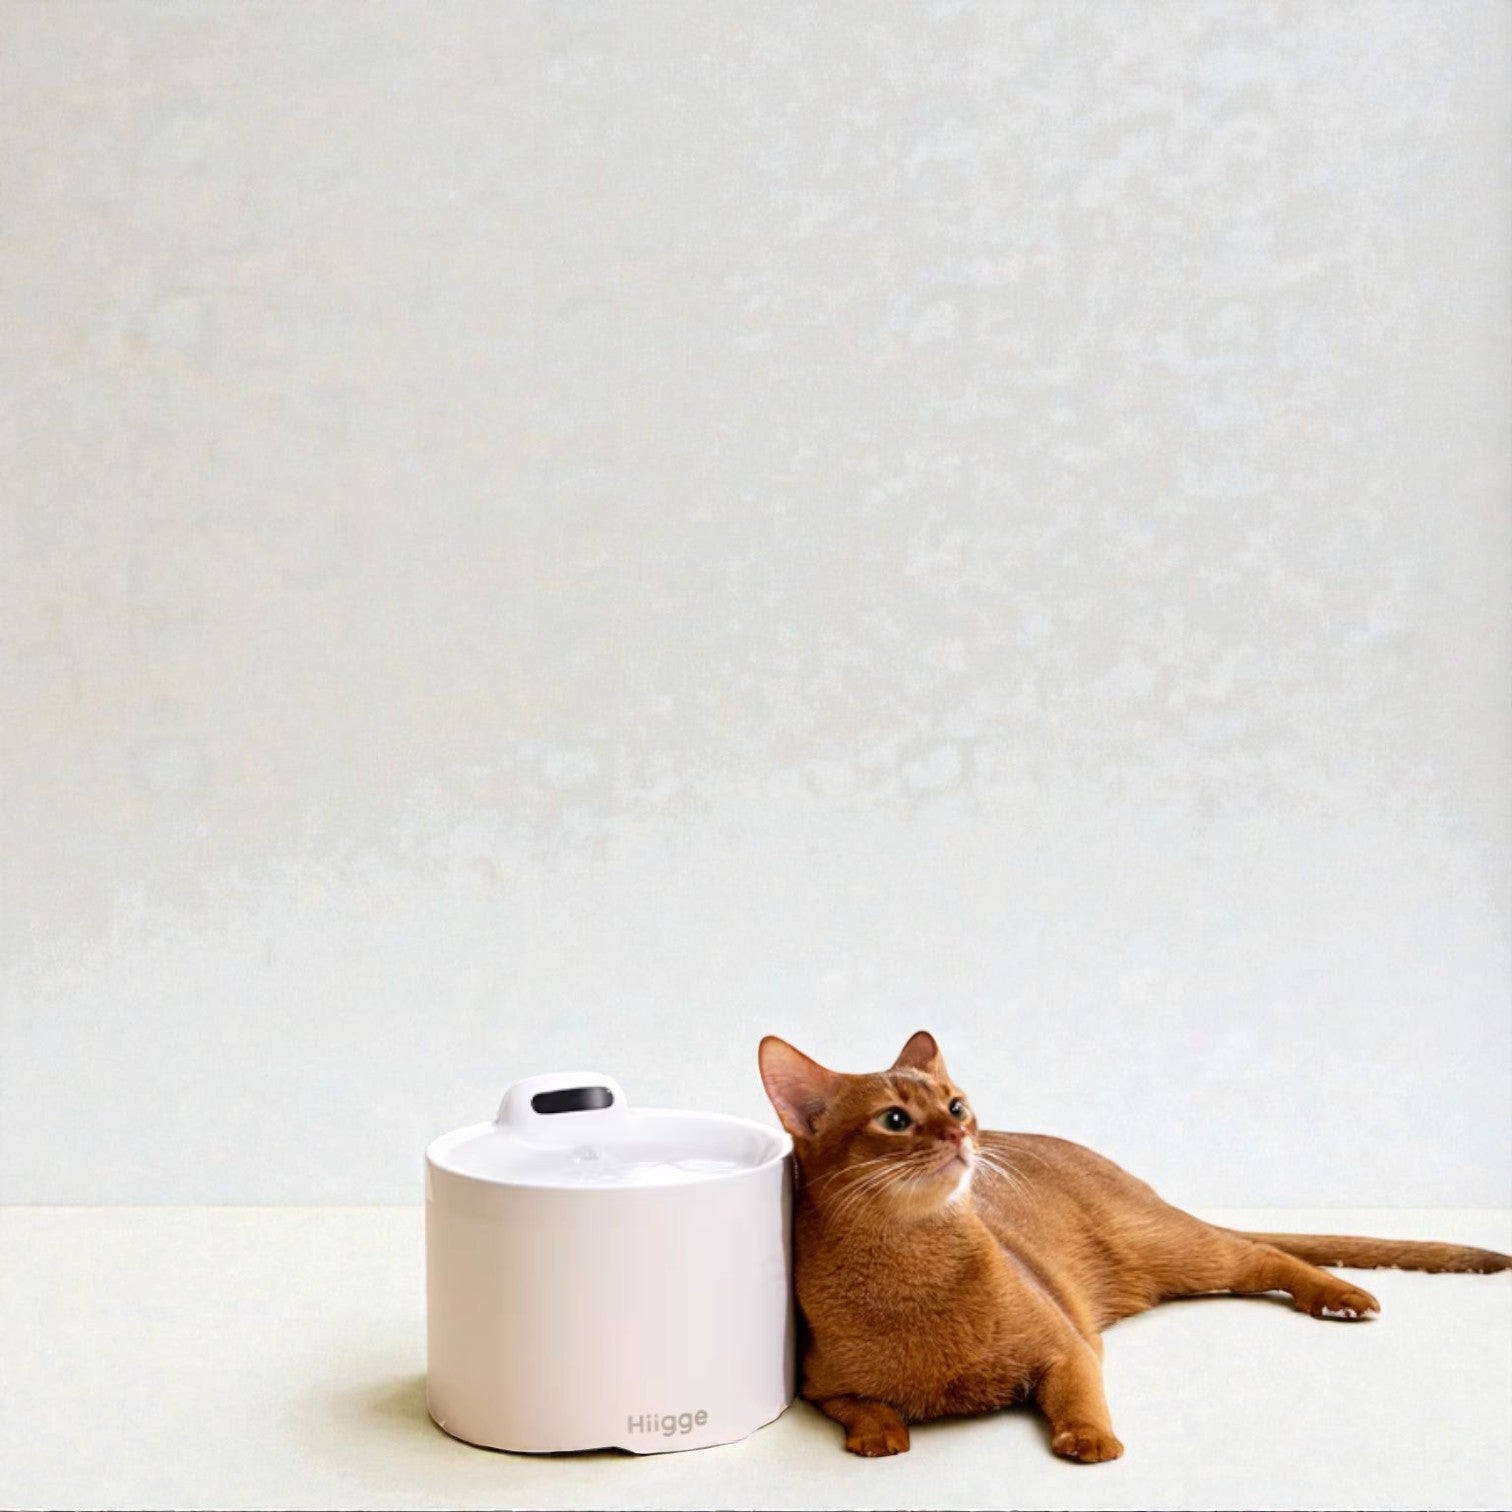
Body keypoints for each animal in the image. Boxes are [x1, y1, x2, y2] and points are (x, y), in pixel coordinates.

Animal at [758, 1029, 1511, 1461]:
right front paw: (879, 1433)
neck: (912, 1269)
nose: (962, 1134)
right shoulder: (818, 1383)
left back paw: (1341, 1296)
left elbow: (1080, 1395)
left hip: (1178, 1249)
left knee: (1264, 1255)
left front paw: (1090, 1439)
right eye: (894, 1120)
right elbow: (858, 1403)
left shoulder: (1068, 1346)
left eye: (956, 1104)